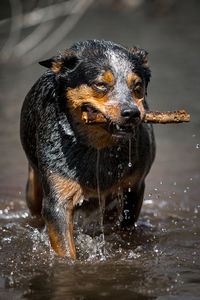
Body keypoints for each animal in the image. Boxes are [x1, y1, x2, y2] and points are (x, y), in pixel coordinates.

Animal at [19, 39, 155, 260]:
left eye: (138, 86)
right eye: (101, 84)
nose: (132, 112)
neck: (98, 148)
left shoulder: (133, 188)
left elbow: (126, 229)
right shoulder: (57, 202)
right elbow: (65, 250)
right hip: (33, 188)